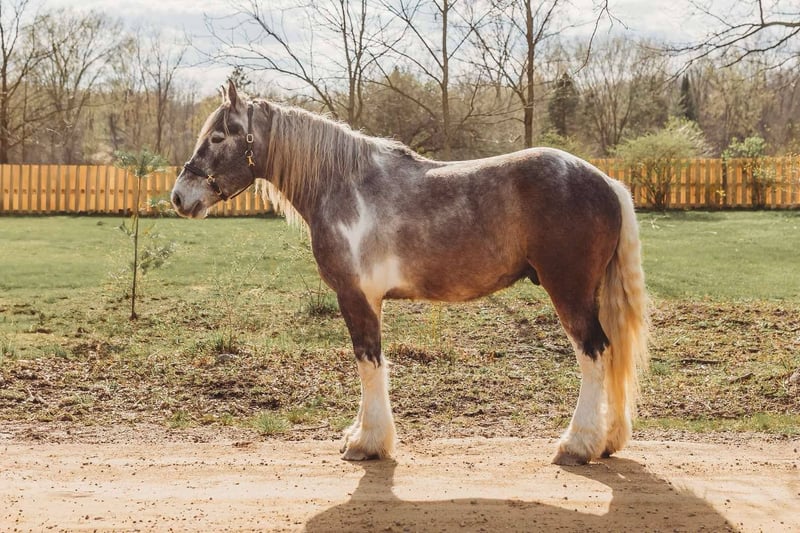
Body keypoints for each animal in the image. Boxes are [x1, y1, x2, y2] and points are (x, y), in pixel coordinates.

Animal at [171, 82, 649, 466]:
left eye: (217, 136)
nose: (179, 197)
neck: (344, 185)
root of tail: (606, 183)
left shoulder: (355, 297)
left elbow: (368, 362)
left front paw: (367, 443)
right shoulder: (368, 300)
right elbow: (371, 363)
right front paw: (359, 433)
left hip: (568, 292)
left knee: (593, 354)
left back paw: (577, 445)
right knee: (609, 356)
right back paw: (607, 441)